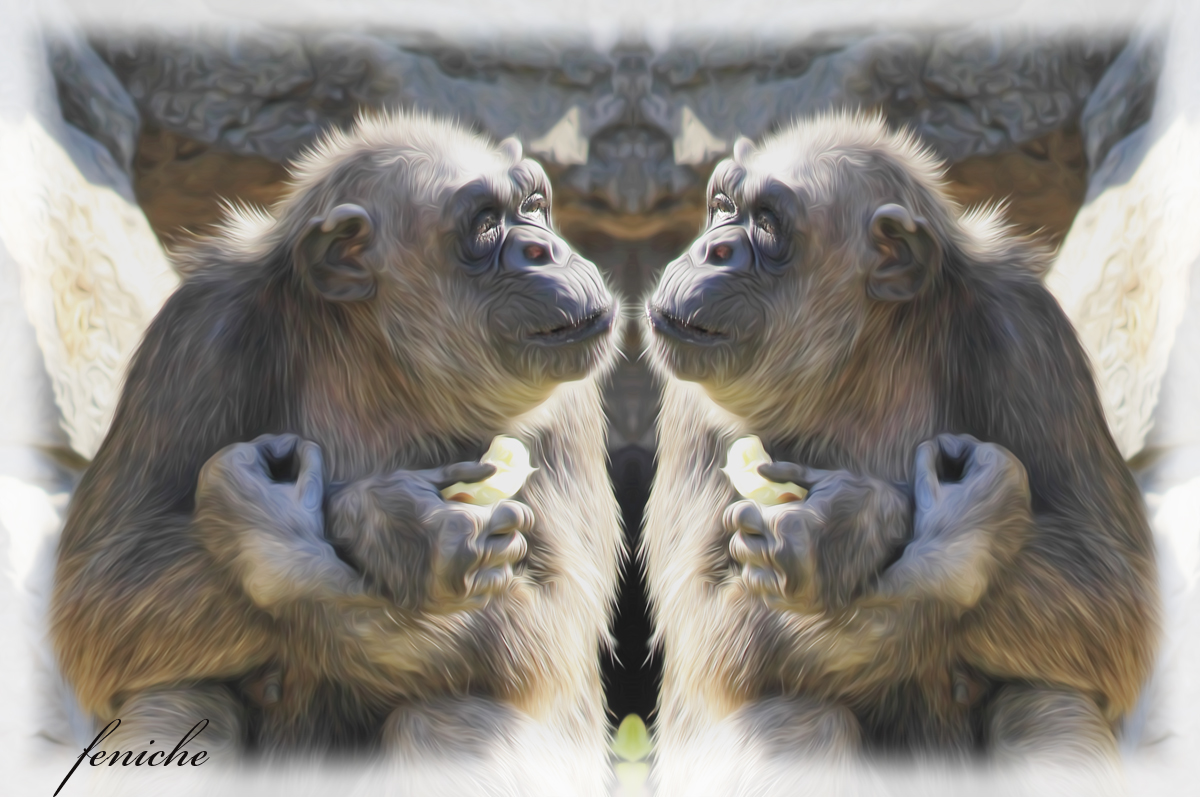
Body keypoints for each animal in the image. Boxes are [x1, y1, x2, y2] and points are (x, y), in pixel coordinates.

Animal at [49, 111, 623, 786]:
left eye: (533, 206)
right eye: (485, 224)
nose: (544, 247)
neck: (381, 356)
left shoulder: (567, 394)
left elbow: (549, 618)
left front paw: (371, 527)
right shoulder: (198, 329)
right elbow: (102, 587)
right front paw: (378, 530)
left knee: (460, 718)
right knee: (175, 700)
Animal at [640, 112, 1157, 792]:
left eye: (768, 223)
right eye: (723, 207)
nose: (713, 247)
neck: (863, 353)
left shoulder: (1027, 329)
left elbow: (1112, 587)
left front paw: (868, 530)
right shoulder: (693, 393)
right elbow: (709, 621)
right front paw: (867, 527)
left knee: (1048, 702)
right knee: (789, 715)